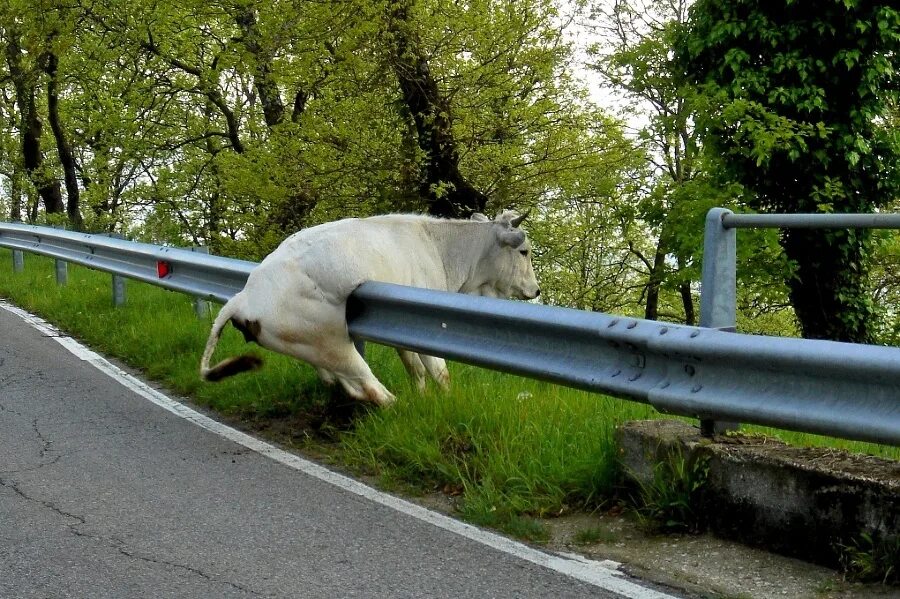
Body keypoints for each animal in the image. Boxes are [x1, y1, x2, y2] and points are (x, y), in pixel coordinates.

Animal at [200, 211, 536, 408]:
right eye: (524, 251)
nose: (536, 290)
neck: (439, 248)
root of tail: (243, 296)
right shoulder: (427, 325)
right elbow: (439, 372)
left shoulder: (404, 331)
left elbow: (415, 369)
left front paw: (424, 397)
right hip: (333, 343)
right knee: (370, 389)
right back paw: (399, 407)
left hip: (309, 347)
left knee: (340, 382)